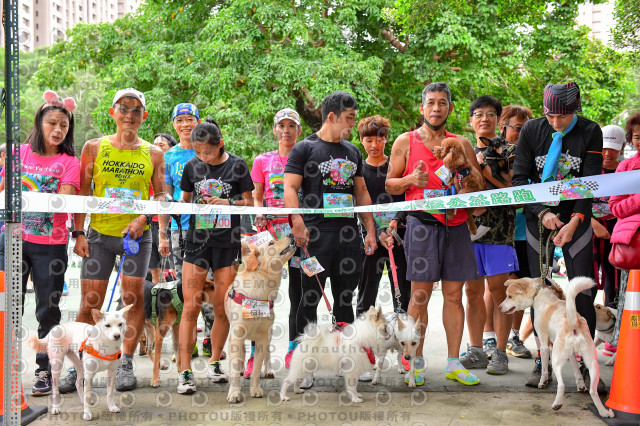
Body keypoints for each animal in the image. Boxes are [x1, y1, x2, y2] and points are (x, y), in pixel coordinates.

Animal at [225, 235, 298, 404]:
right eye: (271, 243)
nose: (291, 234)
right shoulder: (236, 334)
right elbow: (234, 366)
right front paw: (234, 393)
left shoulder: (262, 337)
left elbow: (257, 368)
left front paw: (255, 389)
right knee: (242, 353)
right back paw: (242, 369)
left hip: (269, 334)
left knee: (268, 354)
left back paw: (269, 370)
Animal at [498, 276, 612, 420]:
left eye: (510, 296)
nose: (499, 307)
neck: (539, 293)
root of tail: (574, 322)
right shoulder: (571, 354)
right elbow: (577, 371)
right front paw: (580, 386)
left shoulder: (544, 345)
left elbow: (545, 369)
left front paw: (542, 382)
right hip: (592, 363)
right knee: (593, 390)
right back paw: (603, 412)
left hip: (557, 358)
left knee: (561, 384)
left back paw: (557, 404)